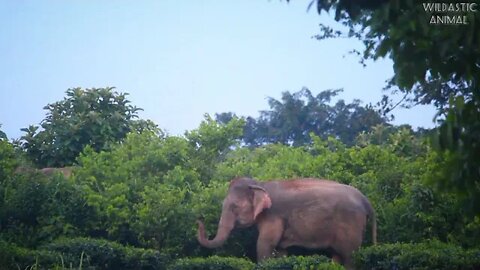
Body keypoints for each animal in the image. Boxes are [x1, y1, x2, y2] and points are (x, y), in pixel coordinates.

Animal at [197, 177, 376, 270]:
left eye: (234, 207)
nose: (199, 219)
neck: (259, 184)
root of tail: (366, 201)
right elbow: (279, 250)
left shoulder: (273, 215)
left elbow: (264, 244)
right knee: (338, 255)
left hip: (350, 224)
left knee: (350, 255)